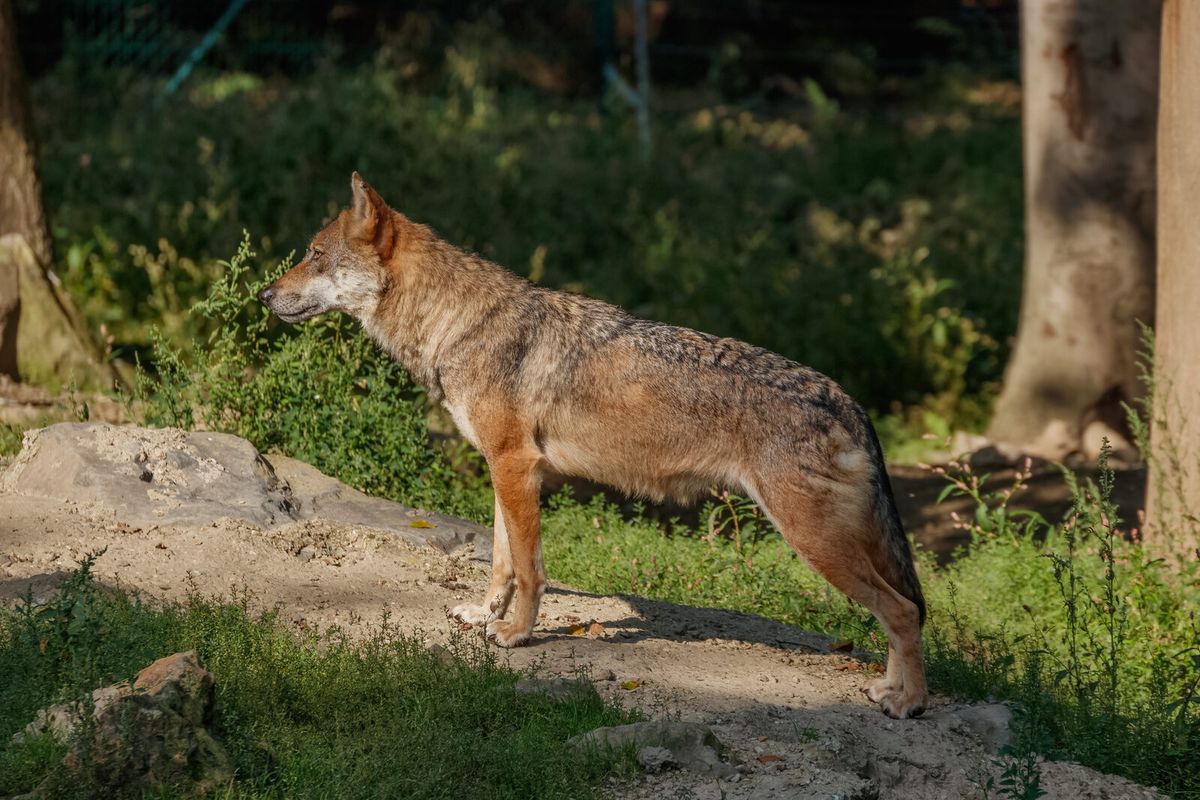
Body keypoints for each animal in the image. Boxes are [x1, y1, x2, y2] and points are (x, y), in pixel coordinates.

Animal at [259, 173, 929, 718]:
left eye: (314, 255)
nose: (264, 295)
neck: (458, 323)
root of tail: (848, 398)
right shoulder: (504, 470)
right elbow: (500, 561)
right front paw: (483, 617)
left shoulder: (516, 467)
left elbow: (530, 570)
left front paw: (517, 637)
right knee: (905, 609)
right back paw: (889, 690)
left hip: (814, 541)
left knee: (903, 611)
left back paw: (909, 704)